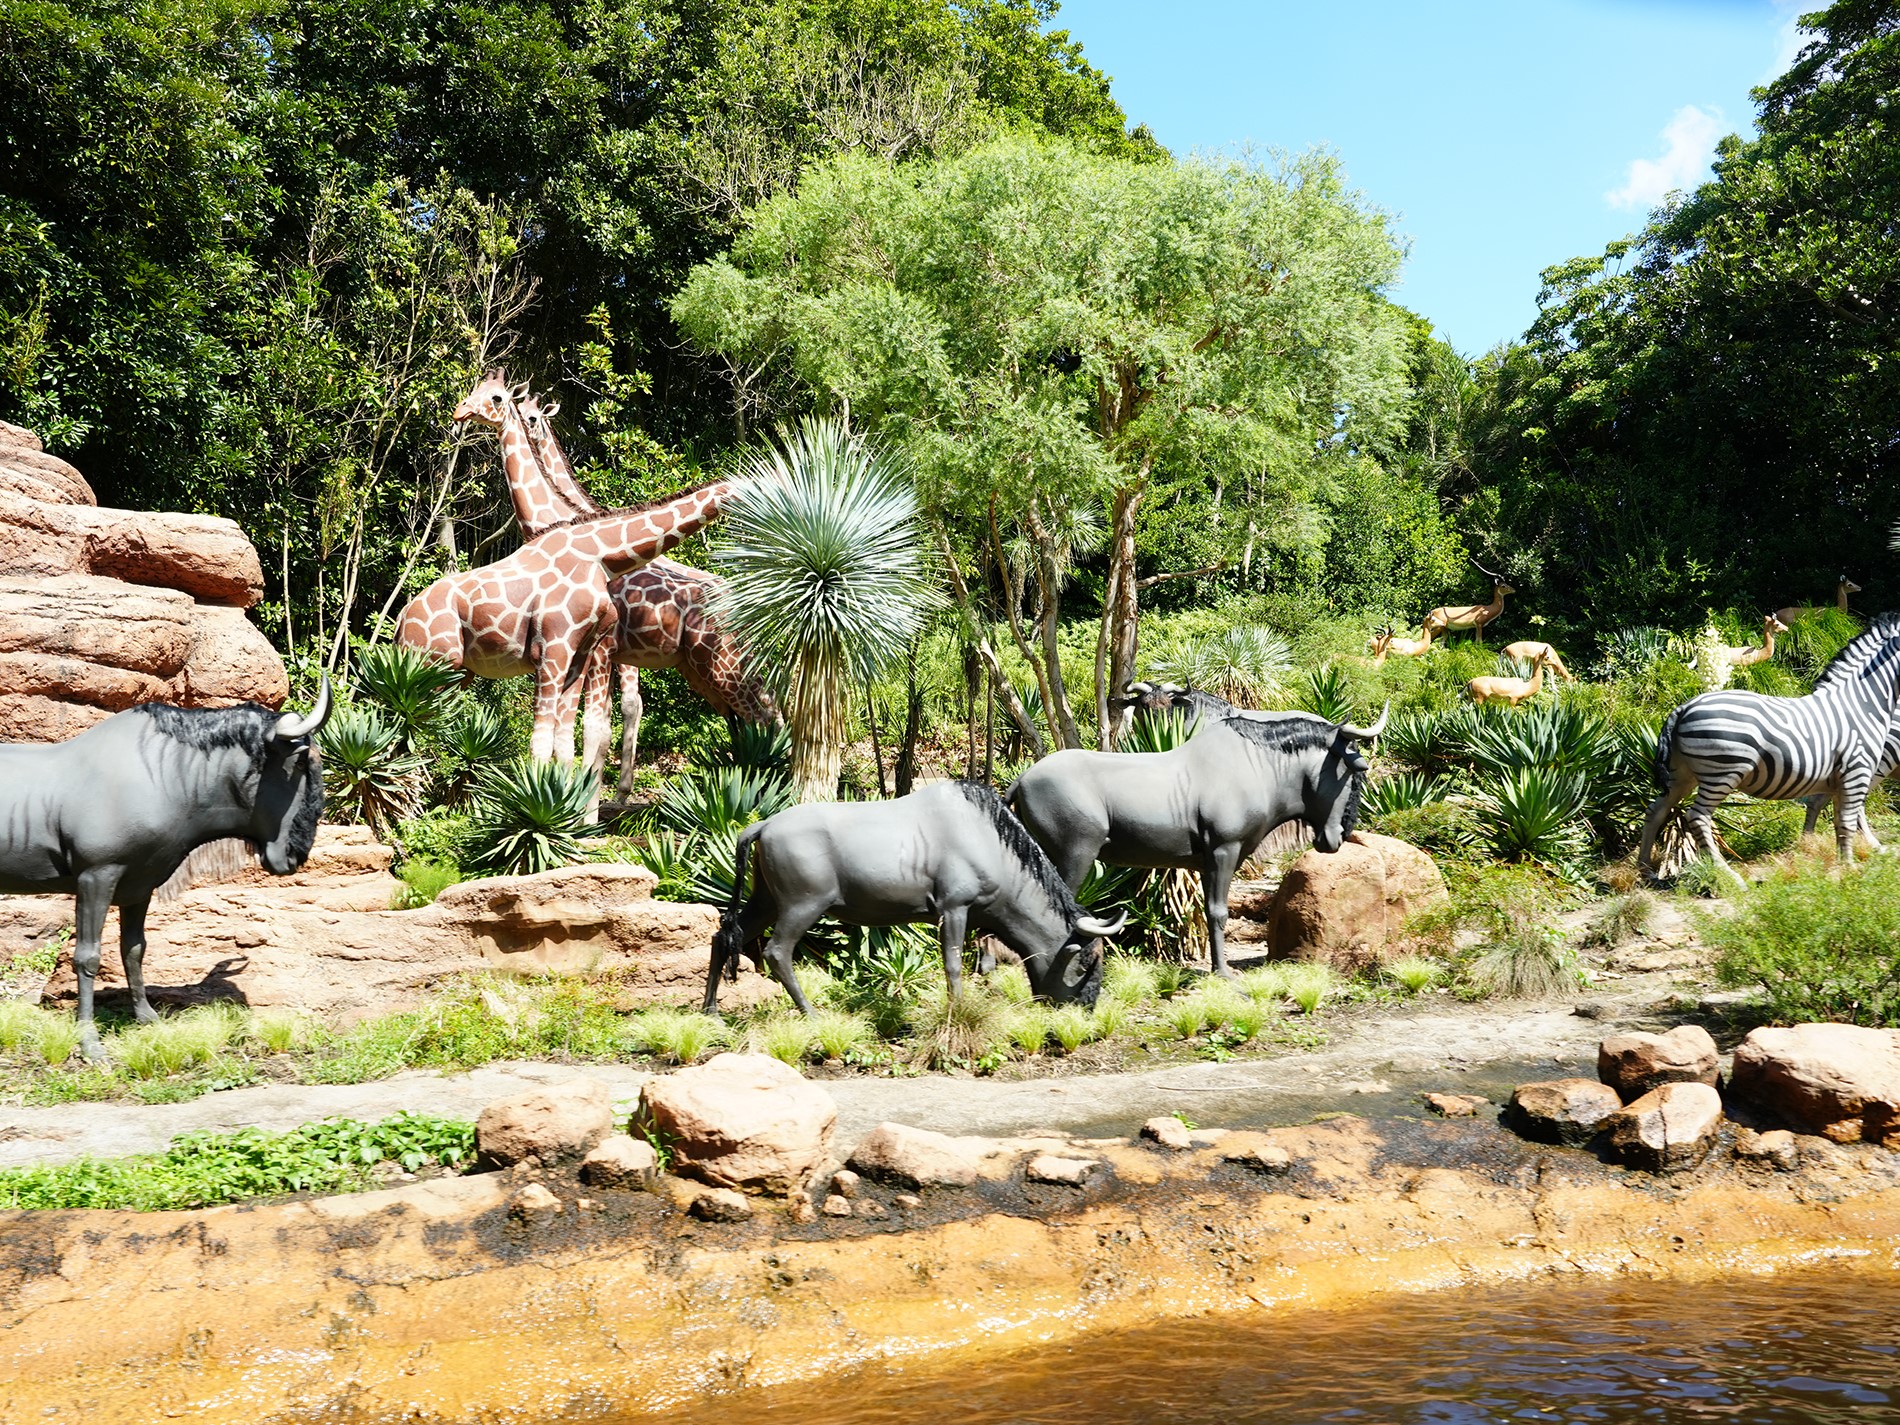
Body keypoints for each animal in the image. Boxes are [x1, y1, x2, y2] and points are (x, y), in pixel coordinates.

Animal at [1634, 615, 1900, 881]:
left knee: (1656, 811)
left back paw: (1646, 869)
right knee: (1697, 817)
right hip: (1722, 772)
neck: (1862, 702)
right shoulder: (1857, 771)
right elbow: (1847, 820)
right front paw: (1850, 868)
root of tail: (1683, 708)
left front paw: (1836, 860)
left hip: (1682, 775)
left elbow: (1838, 819)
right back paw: (1729, 876)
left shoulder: (1842, 778)